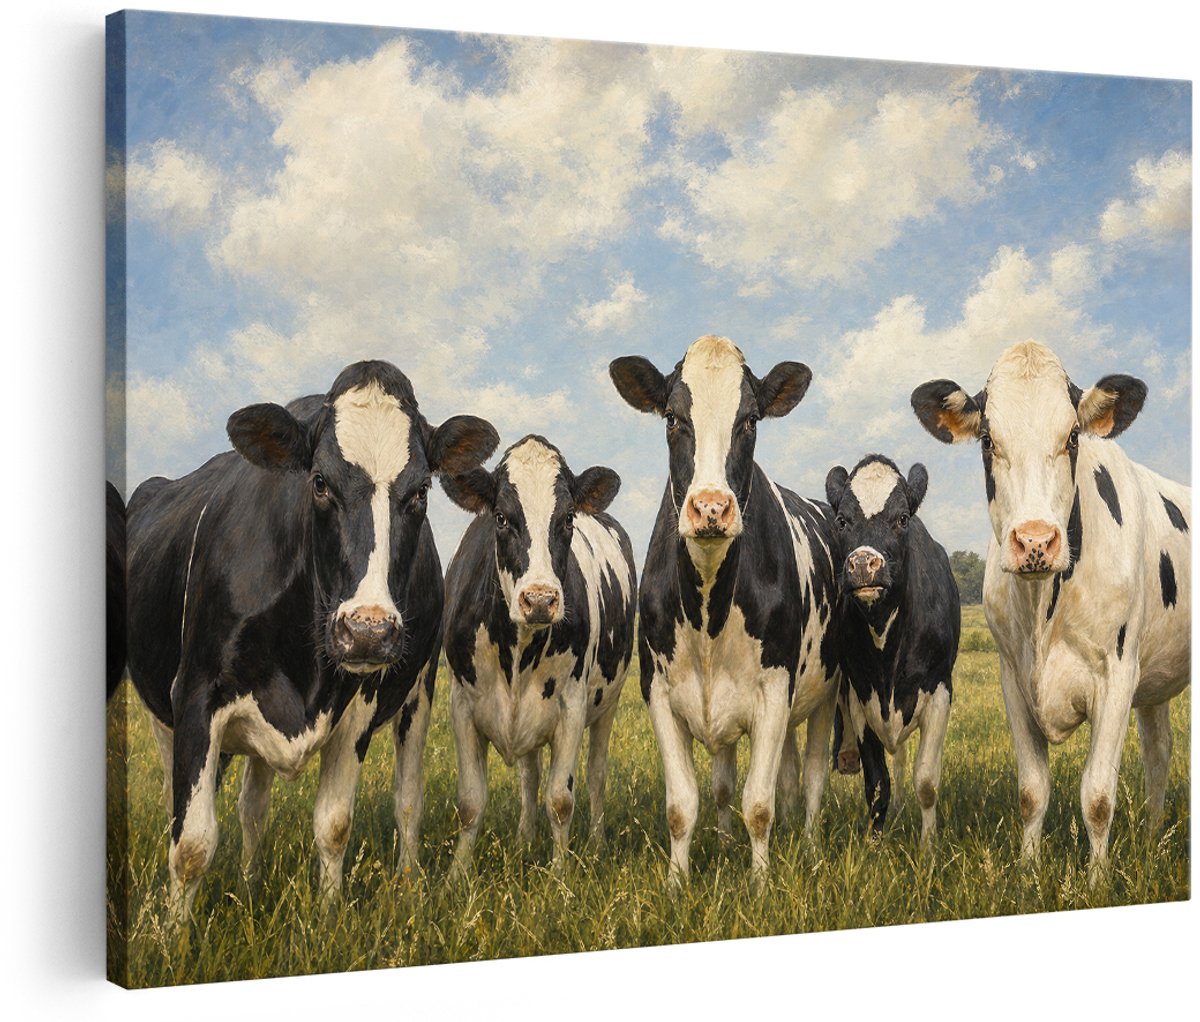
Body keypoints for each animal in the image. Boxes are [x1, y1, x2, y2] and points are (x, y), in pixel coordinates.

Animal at [125, 360, 498, 919]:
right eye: (319, 482)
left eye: (420, 492)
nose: (367, 630)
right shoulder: (195, 694)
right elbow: (190, 843)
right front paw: (172, 933)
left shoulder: (361, 704)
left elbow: (333, 825)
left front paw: (326, 917)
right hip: (161, 712)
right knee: (214, 803)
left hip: (419, 692)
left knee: (399, 800)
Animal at [440, 435, 636, 876]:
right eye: (500, 517)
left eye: (567, 519)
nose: (541, 599)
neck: (518, 651)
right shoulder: (461, 703)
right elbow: (470, 802)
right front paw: (457, 875)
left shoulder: (572, 706)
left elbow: (561, 800)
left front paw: (560, 876)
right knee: (529, 777)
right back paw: (523, 840)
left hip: (609, 702)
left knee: (596, 774)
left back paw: (596, 843)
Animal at [609, 335, 841, 881]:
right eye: (672, 418)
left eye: (750, 420)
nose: (712, 508)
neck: (709, 612)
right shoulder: (658, 691)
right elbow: (683, 804)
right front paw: (677, 883)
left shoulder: (775, 690)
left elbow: (759, 803)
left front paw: (759, 883)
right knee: (759, 779)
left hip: (826, 691)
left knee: (812, 779)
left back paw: (809, 847)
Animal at [824, 455, 959, 845]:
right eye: (842, 520)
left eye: (901, 519)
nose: (862, 564)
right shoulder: (861, 699)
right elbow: (876, 783)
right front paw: (874, 843)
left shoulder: (940, 693)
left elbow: (926, 781)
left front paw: (928, 846)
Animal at [912, 340, 1189, 877]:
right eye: (987, 441)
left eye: (1072, 438)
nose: (1036, 541)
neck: (1043, 610)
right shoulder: (1012, 677)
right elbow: (1031, 791)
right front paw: (1028, 871)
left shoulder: (1117, 675)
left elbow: (1098, 797)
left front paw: (1096, 881)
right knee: (1159, 751)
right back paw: (1151, 837)